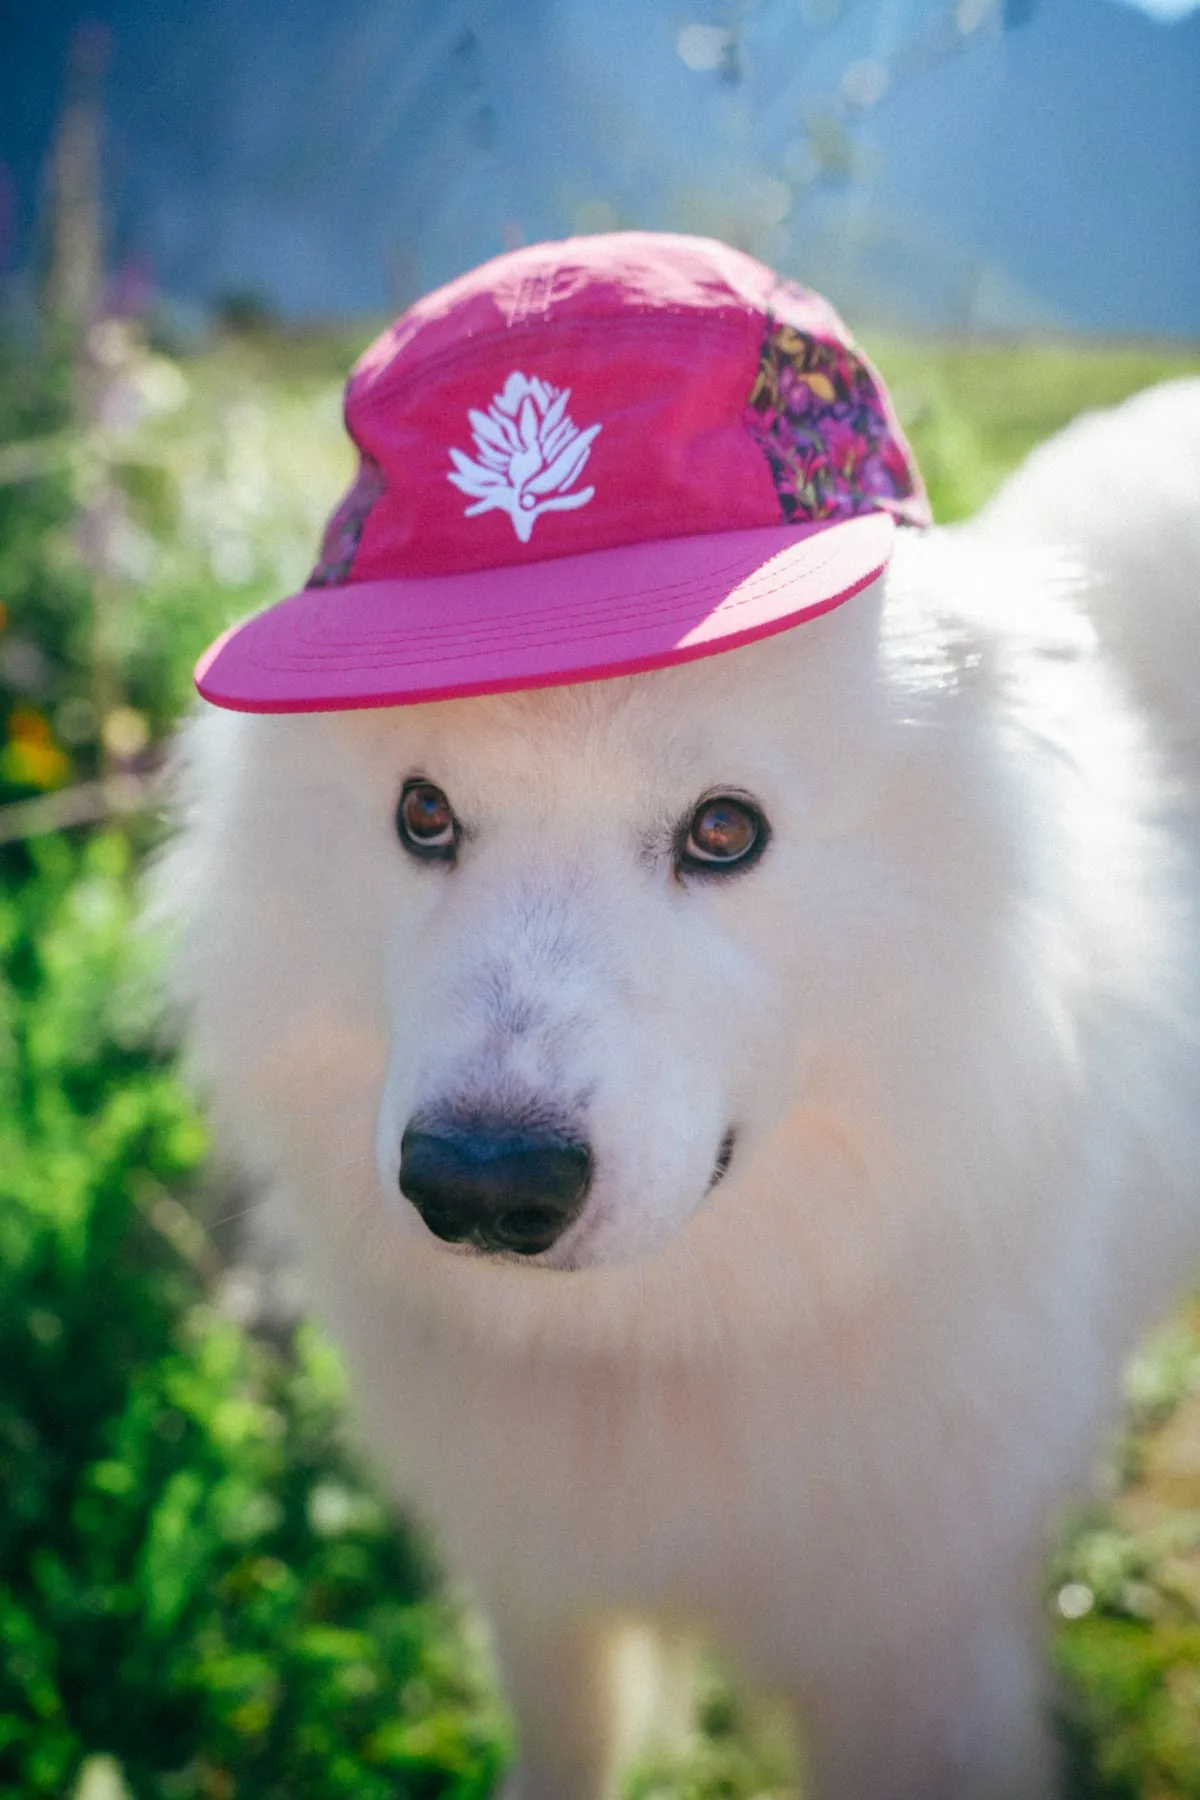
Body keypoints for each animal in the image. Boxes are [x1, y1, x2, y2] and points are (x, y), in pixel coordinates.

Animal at [159, 372, 1200, 1792]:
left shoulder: (914, 1643)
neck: (665, 1336)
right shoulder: (545, 1598)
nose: (481, 1188)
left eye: (724, 830)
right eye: (423, 815)